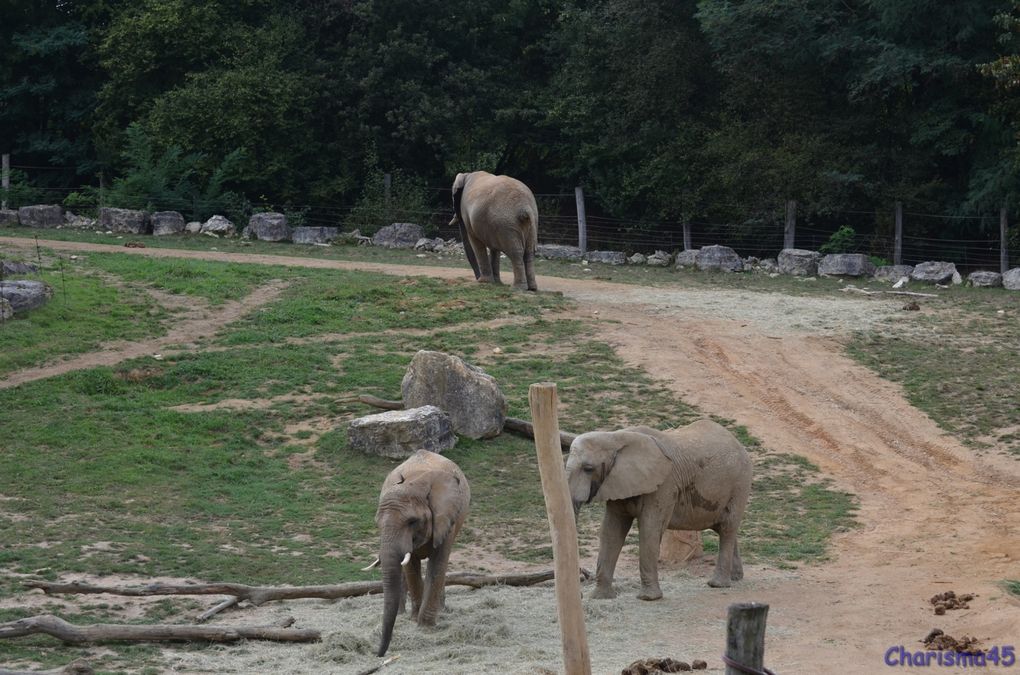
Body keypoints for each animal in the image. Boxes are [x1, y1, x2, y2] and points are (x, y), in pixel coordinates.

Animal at [371, 448, 473, 656]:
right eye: (377, 523)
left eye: (412, 521)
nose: (377, 654)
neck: (415, 482)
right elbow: (411, 566)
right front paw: (414, 620)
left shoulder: (446, 518)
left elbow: (437, 565)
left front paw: (425, 626)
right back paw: (405, 614)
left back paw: (441, 611)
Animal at [563, 424, 754, 603]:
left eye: (588, 469)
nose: (580, 593)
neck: (614, 437)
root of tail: (737, 442)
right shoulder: (617, 482)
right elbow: (611, 531)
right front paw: (601, 597)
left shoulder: (664, 484)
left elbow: (650, 528)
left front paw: (648, 598)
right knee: (724, 528)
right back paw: (735, 578)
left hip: (740, 484)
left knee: (727, 528)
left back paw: (718, 584)